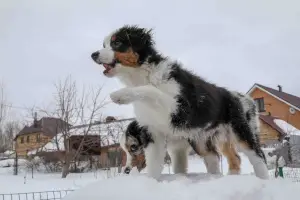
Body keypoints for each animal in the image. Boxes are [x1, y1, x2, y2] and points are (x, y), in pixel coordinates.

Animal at [91, 24, 270, 180]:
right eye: (104, 45)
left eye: (117, 43)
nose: (93, 54)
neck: (141, 76)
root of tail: (245, 98)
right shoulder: (154, 132)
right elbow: (155, 164)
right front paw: (151, 183)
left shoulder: (180, 109)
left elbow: (151, 90)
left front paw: (120, 95)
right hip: (203, 140)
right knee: (220, 157)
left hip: (241, 130)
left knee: (258, 156)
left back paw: (263, 179)